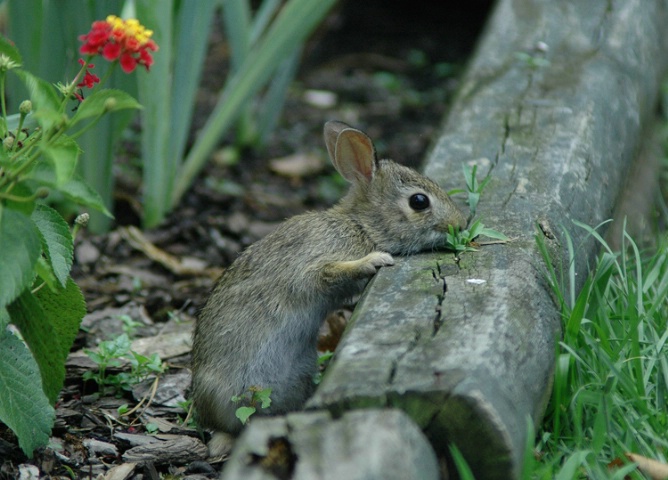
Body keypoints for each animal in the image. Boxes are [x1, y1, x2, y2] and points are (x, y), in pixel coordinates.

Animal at [190, 120, 468, 454]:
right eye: (419, 201)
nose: (461, 223)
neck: (361, 225)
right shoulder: (313, 265)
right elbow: (324, 274)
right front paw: (375, 260)